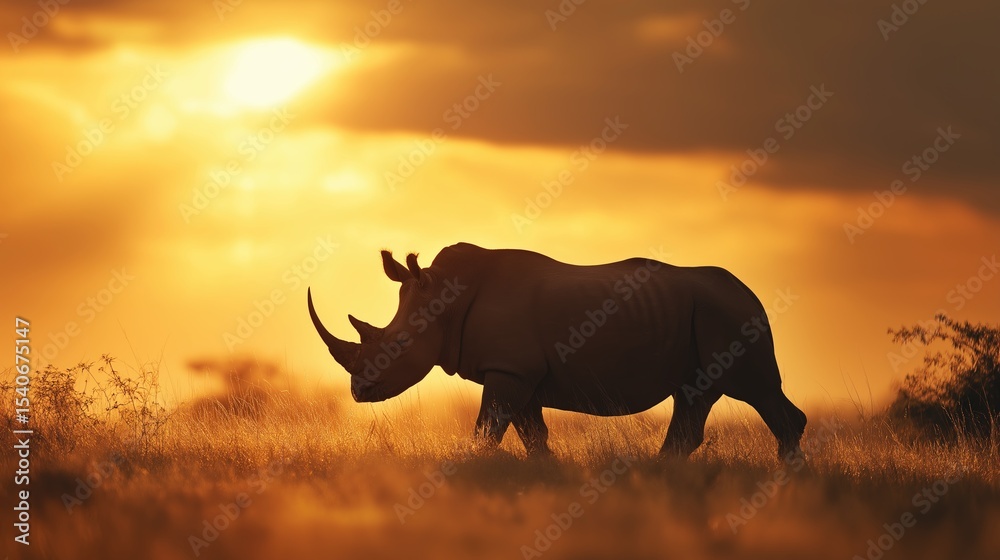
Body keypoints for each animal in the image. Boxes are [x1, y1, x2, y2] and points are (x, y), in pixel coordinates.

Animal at [308, 243, 806, 458]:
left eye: (400, 345)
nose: (359, 392)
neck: (445, 296)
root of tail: (752, 294)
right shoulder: (519, 372)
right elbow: (531, 434)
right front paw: (543, 474)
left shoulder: (509, 370)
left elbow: (488, 428)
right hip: (707, 315)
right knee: (694, 395)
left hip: (728, 313)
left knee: (756, 390)